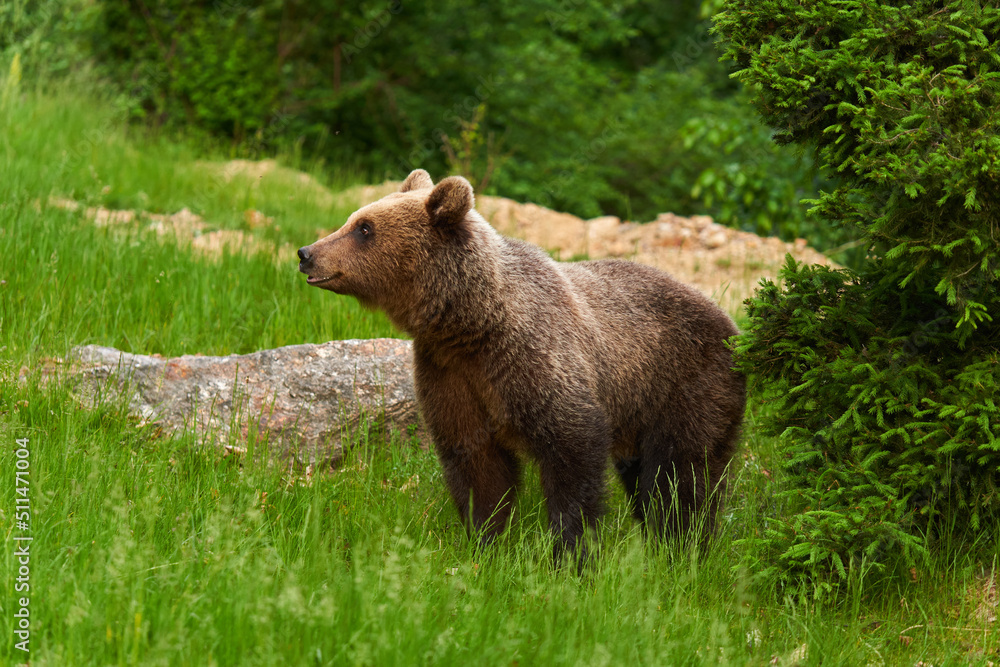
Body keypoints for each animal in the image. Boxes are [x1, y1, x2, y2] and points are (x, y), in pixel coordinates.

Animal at [298, 169, 746, 559]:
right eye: (354, 219)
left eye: (365, 228)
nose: (307, 254)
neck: (471, 325)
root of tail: (730, 322)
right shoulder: (449, 374)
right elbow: (476, 465)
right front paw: (486, 541)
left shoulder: (536, 359)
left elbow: (573, 454)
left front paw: (570, 552)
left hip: (686, 385)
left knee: (681, 475)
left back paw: (682, 546)